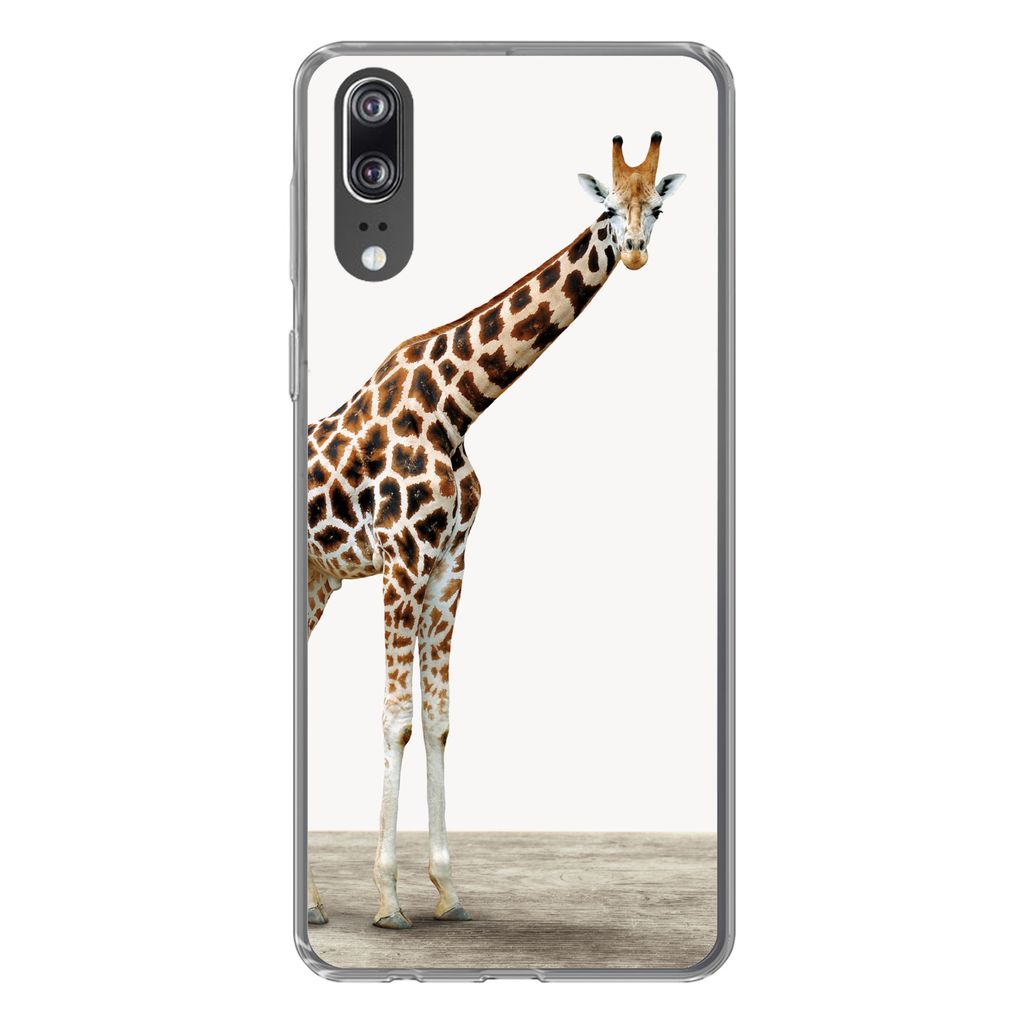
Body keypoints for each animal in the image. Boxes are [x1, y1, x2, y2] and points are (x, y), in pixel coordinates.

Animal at [306, 133, 686, 929]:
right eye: (609, 206)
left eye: (658, 206)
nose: (636, 252)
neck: (457, 405)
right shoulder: (400, 562)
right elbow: (397, 719)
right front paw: (388, 899)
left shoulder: (449, 565)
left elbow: (440, 719)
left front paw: (447, 889)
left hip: (317, 579)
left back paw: (315, 902)